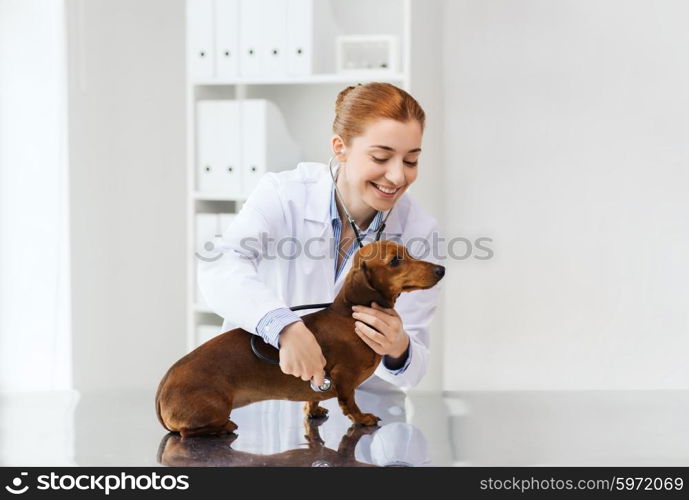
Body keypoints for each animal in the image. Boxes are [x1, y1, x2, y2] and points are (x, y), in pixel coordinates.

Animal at [155, 240, 444, 436]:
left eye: (409, 252)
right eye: (395, 260)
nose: (441, 269)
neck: (349, 317)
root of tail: (162, 388)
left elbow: (314, 395)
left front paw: (314, 410)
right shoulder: (343, 376)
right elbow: (349, 401)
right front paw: (361, 417)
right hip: (216, 405)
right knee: (187, 432)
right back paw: (225, 425)